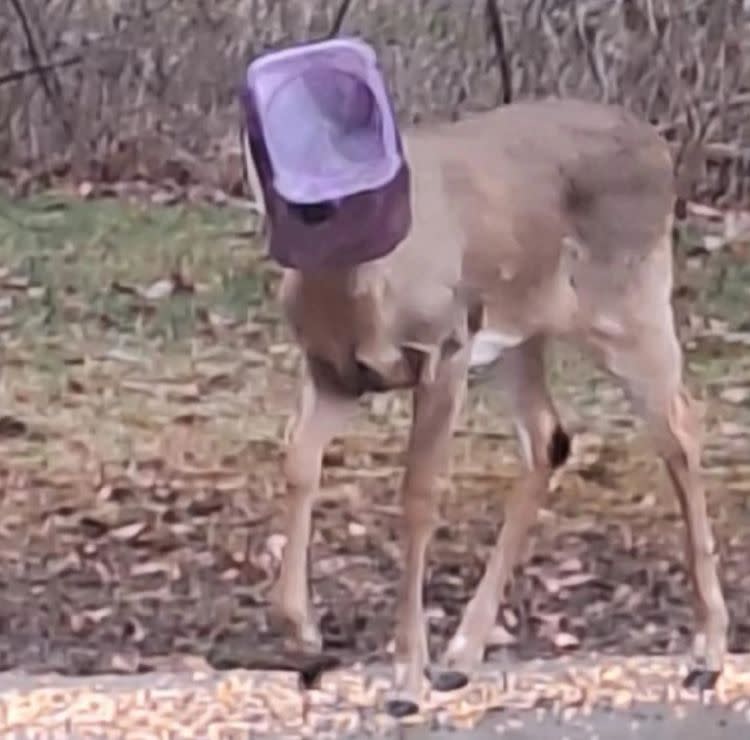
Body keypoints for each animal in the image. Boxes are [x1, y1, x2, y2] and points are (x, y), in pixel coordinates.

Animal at [250, 97, 728, 716]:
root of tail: (658, 145)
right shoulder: (332, 372)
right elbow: (298, 463)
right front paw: (302, 634)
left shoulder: (445, 348)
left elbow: (419, 495)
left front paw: (406, 678)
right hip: (519, 334)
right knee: (549, 438)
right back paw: (461, 656)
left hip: (628, 302)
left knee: (680, 430)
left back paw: (707, 654)